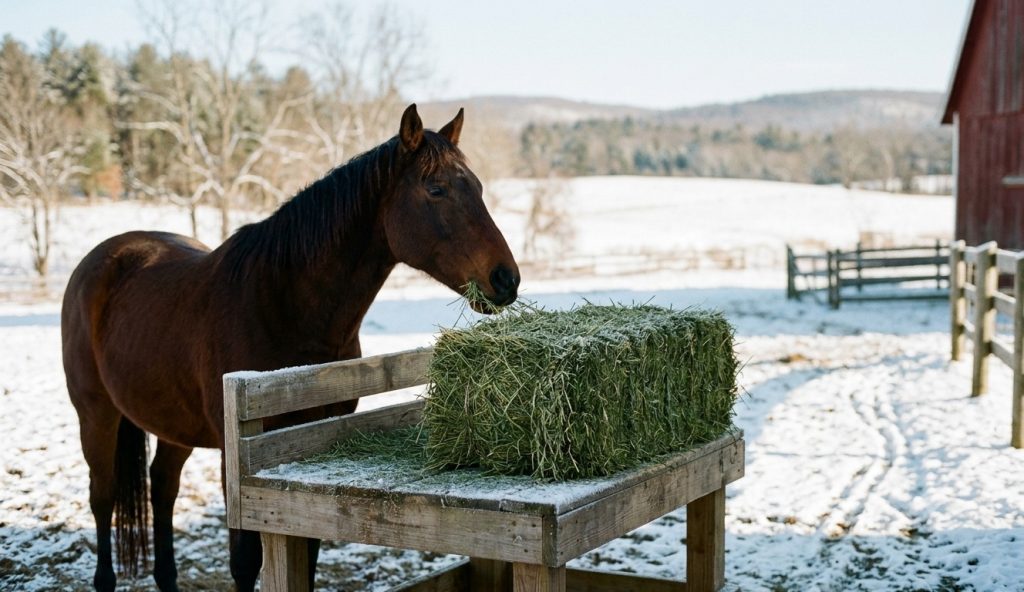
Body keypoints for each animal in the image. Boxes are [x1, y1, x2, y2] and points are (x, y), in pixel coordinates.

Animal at [61, 104, 520, 591]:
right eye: (436, 189)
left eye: (478, 187)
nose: (506, 278)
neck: (282, 302)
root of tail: (103, 258)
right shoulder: (238, 455)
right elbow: (245, 560)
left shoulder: (307, 443)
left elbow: (309, 547)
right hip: (96, 415)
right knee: (103, 497)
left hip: (171, 422)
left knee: (162, 488)